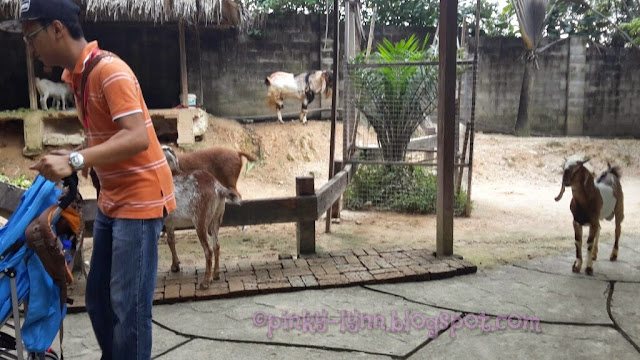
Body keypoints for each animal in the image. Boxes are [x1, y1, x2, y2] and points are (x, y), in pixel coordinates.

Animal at [161, 145, 241, 288]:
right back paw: (216, 274)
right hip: (216, 219)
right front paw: (175, 265)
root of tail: (216, 186)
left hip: (200, 221)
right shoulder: (170, 223)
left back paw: (206, 281)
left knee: (208, 250)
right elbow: (171, 241)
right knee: (216, 245)